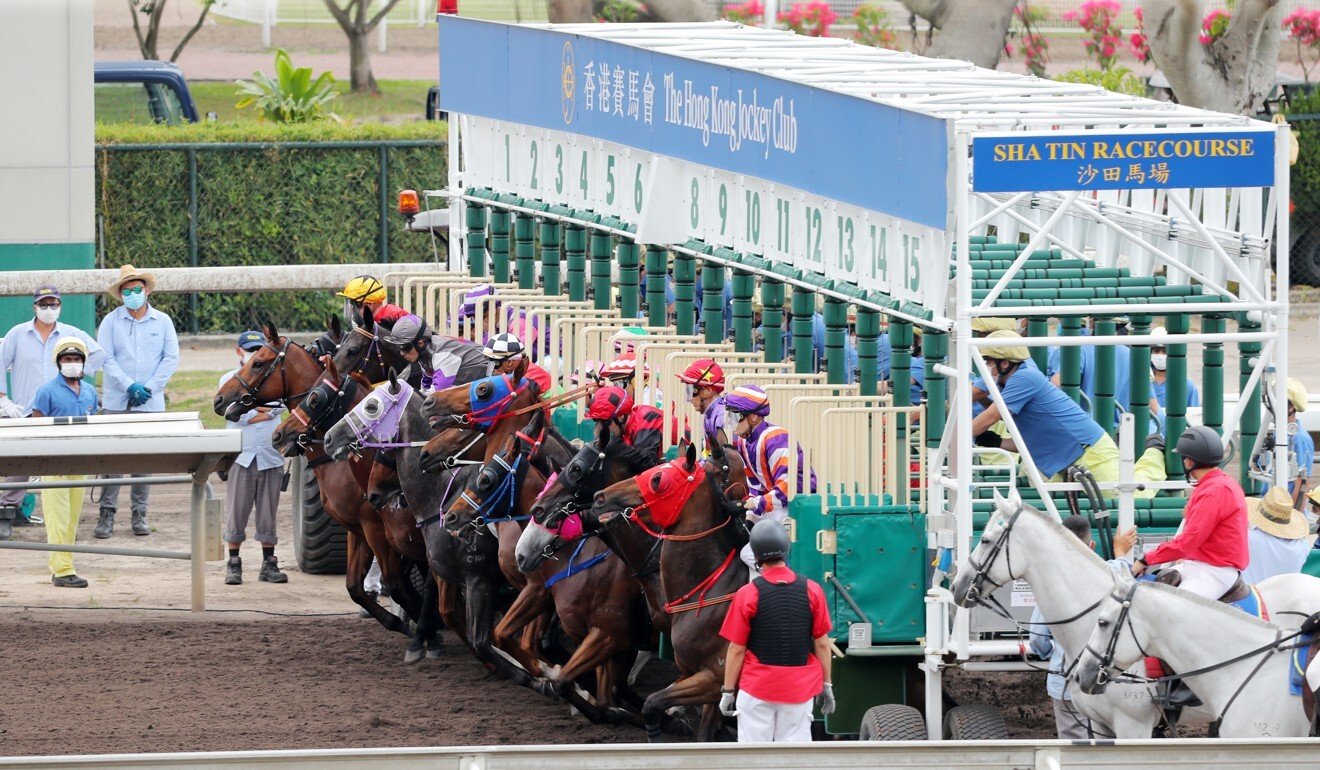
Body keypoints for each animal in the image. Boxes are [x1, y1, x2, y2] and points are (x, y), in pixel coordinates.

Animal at [596, 443, 755, 744]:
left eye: (658, 480)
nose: (600, 497)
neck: (711, 590)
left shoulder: (715, 676)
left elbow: (653, 703)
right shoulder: (701, 680)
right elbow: (704, 734)